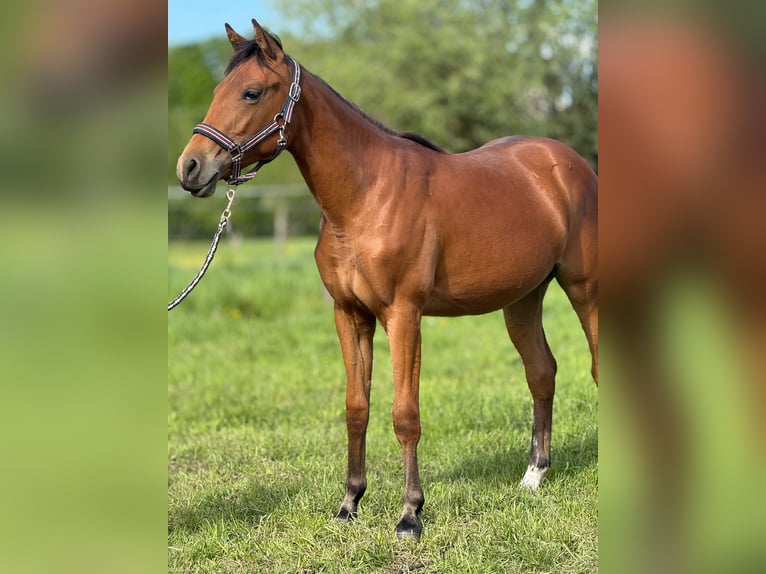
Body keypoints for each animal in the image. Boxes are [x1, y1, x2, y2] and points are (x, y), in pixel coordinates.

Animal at [176, 19, 598, 539]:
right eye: (218, 90)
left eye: (251, 92)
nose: (190, 168)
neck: (366, 195)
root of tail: (569, 165)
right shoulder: (350, 315)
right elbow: (357, 409)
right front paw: (349, 503)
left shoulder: (404, 315)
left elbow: (405, 415)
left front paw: (410, 514)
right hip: (522, 299)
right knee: (541, 371)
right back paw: (534, 475)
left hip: (584, 289)